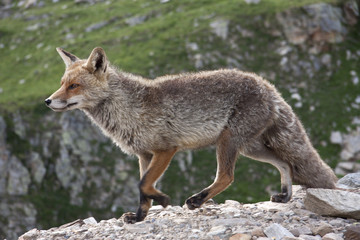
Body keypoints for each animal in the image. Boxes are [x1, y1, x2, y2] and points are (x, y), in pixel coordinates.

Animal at [45, 47, 338, 223]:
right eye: (61, 84)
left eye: (74, 86)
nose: (47, 101)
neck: (128, 108)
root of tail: (267, 85)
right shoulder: (144, 154)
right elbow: (142, 191)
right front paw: (140, 217)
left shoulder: (166, 149)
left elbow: (143, 184)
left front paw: (163, 199)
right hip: (249, 148)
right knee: (285, 163)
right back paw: (285, 196)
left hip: (228, 142)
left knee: (226, 176)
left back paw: (198, 200)